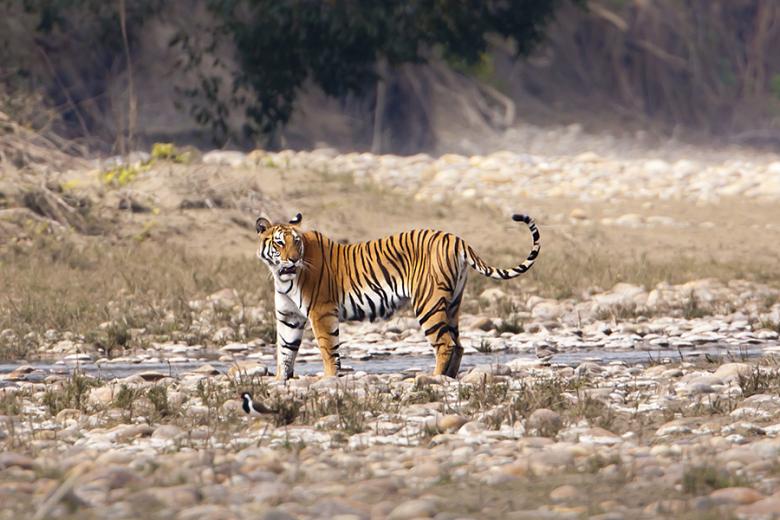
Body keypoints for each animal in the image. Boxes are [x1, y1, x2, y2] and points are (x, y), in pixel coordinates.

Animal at [255, 212, 540, 380]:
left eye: (297, 242)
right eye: (280, 242)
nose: (293, 259)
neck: (282, 276)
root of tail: (455, 238)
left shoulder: (322, 312)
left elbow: (327, 349)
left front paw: (328, 379)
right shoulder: (289, 316)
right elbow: (285, 350)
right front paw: (281, 381)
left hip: (428, 303)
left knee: (445, 344)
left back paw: (434, 379)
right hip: (452, 304)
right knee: (458, 344)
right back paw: (448, 378)